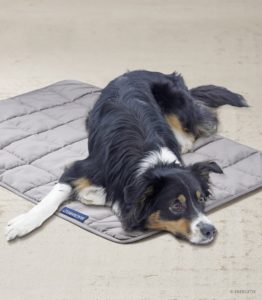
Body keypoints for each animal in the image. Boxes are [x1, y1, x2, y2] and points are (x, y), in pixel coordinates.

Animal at [5, 71, 248, 245]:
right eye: (176, 205)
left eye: (201, 199)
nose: (210, 231)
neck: (150, 162)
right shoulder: (80, 168)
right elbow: (50, 200)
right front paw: (22, 224)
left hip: (178, 105)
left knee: (193, 132)